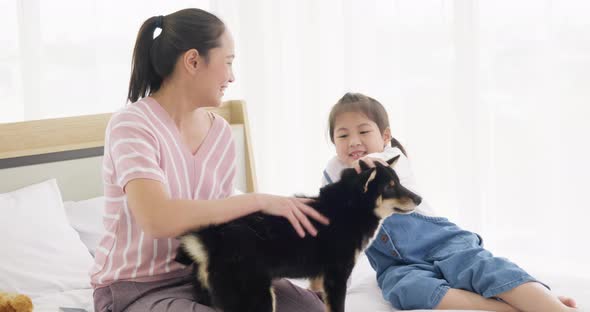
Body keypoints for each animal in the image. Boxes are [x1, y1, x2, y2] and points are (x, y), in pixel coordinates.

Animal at [176, 156, 420, 312]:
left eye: (399, 182)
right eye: (389, 187)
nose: (419, 198)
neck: (348, 209)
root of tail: (209, 243)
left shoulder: (321, 278)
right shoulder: (336, 276)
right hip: (258, 299)